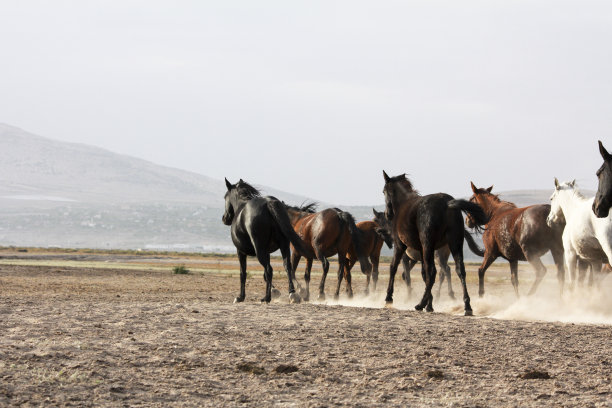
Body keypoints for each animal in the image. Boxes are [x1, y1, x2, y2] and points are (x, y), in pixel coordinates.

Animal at [382, 171, 488, 316]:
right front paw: (430, 305)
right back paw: (467, 306)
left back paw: (420, 304)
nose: (388, 214)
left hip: (430, 247)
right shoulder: (421, 250)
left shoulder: (400, 246)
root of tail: (447, 203)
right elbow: (423, 273)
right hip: (454, 244)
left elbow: (393, 267)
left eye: (384, 191)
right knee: (460, 270)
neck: (404, 204)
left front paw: (389, 298)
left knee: (433, 272)